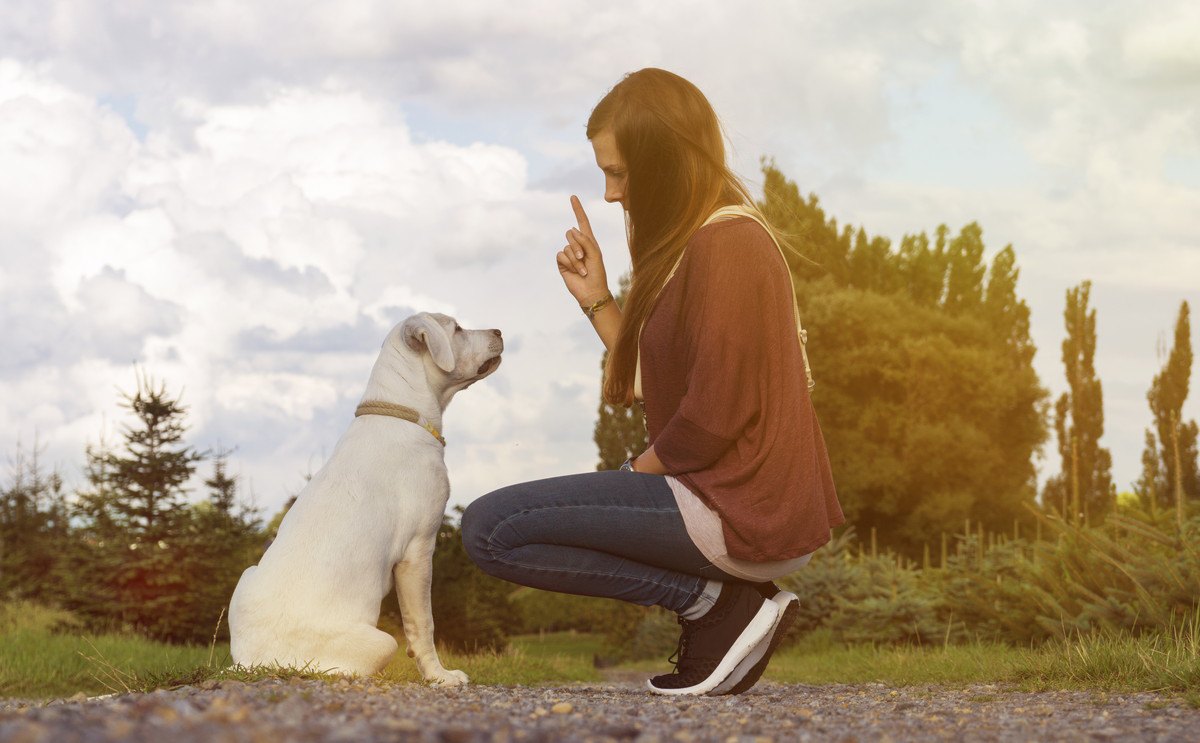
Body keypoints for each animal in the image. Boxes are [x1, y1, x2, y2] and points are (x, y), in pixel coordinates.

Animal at [228, 312, 501, 681]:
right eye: (456, 329)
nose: (499, 331)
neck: (402, 412)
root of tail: (250, 663)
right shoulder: (418, 549)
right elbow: (423, 623)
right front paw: (440, 677)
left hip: (246, 576)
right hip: (381, 642)